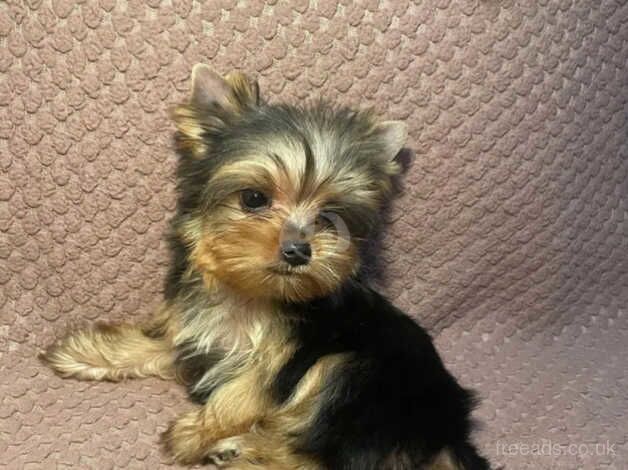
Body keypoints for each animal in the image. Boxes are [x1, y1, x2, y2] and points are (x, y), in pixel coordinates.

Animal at [43, 63, 490, 470]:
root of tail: (448, 436)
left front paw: (194, 433)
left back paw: (240, 452)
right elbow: (158, 344)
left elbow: (241, 394)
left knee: (324, 456)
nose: (298, 251)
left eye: (328, 218)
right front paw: (91, 353)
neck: (246, 292)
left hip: (361, 380)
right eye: (254, 198)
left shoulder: (285, 358)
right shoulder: (197, 331)